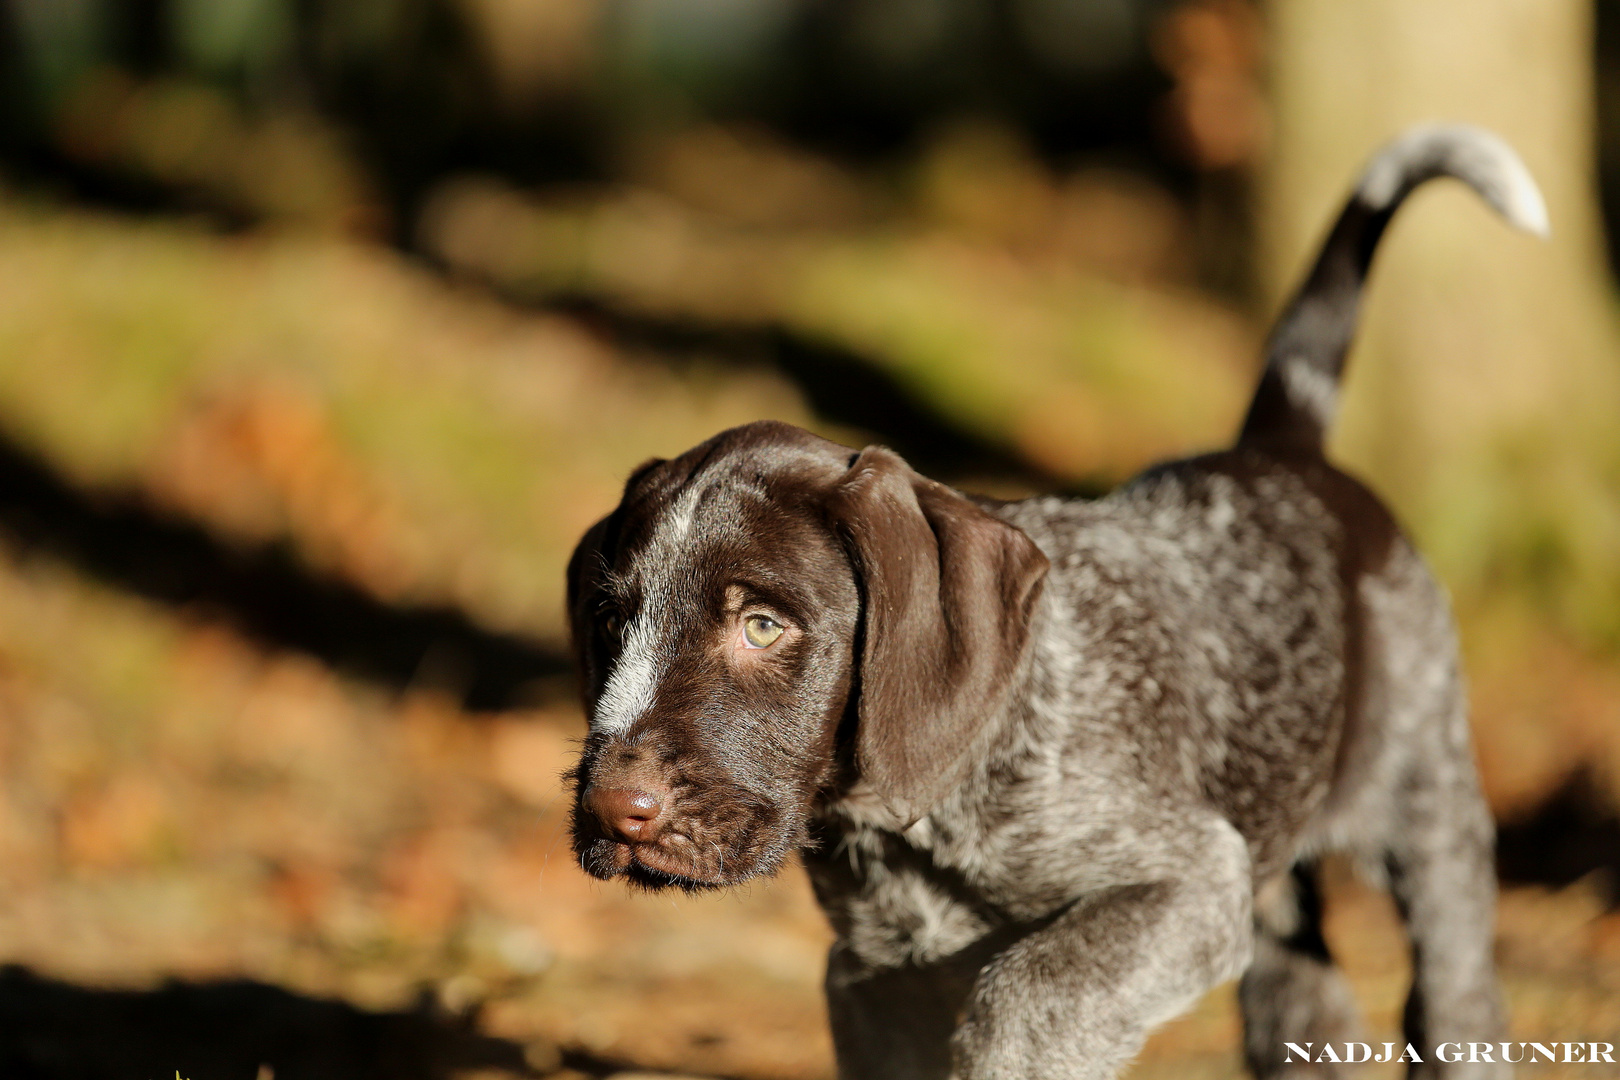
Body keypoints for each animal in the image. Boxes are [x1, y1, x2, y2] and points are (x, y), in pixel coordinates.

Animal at [567, 128, 1542, 1080]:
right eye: (613, 622)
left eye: (762, 625)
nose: (615, 809)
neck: (920, 820)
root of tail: (1287, 454)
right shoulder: (874, 976)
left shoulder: (1185, 883)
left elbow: (1025, 996)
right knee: (1305, 1013)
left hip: (1430, 811)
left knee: (1456, 1006)